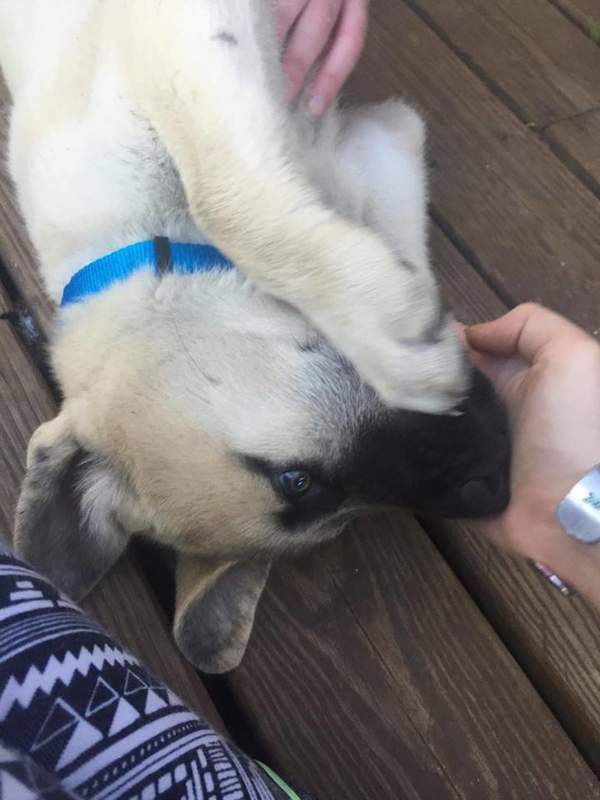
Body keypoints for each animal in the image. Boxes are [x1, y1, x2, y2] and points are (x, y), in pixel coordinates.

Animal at [0, 1, 510, 676]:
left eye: (293, 479)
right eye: (308, 493)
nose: (499, 489)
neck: (148, 241)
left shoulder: (178, 37)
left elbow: (224, 196)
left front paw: (400, 338)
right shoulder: (380, 140)